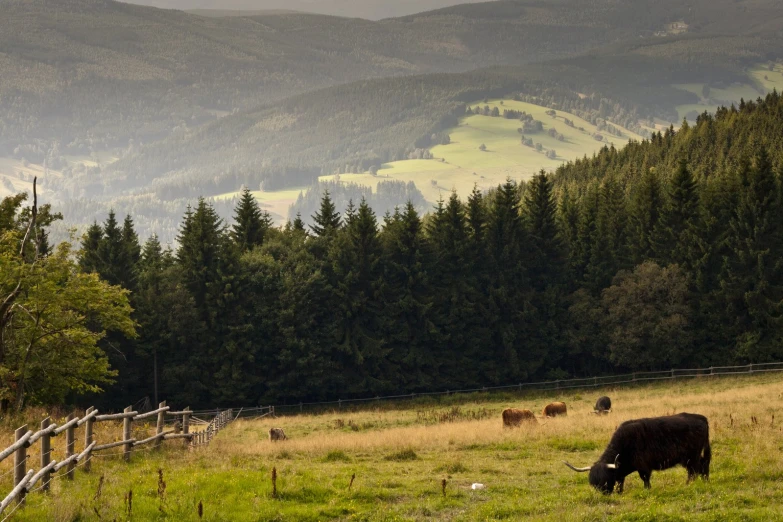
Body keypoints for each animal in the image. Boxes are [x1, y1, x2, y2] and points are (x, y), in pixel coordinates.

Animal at [564, 410, 712, 492]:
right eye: (594, 484)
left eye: (604, 481)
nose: (603, 495)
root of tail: (701, 417)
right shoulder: (621, 471)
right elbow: (620, 481)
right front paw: (619, 492)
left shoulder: (643, 466)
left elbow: (645, 479)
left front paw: (647, 490)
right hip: (691, 458)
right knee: (701, 467)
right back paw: (704, 482)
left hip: (692, 456)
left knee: (694, 470)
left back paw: (689, 484)